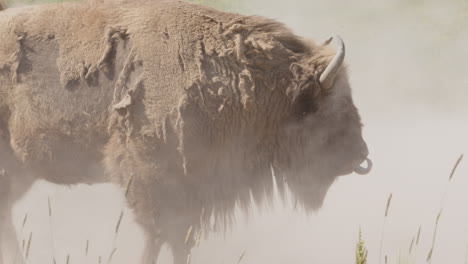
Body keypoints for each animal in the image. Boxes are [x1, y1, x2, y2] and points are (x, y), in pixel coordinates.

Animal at [0, 1, 372, 262]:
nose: (361, 155)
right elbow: (159, 236)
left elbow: (181, 240)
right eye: (333, 106)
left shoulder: (192, 190)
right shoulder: (150, 178)